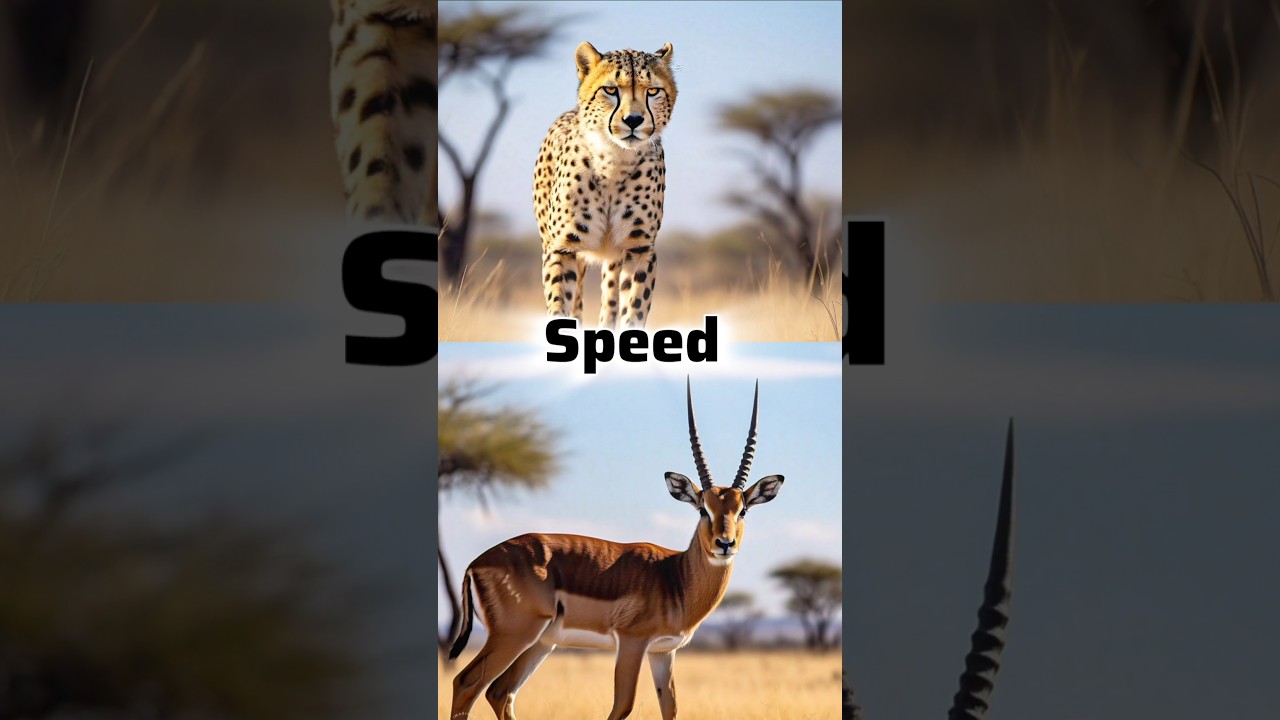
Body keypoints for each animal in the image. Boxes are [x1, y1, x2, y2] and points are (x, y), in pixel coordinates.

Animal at [533, 41, 677, 329]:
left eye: (653, 90)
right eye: (610, 89)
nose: (633, 120)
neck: (613, 159)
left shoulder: (639, 248)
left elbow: (634, 307)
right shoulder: (562, 248)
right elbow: (559, 304)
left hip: (613, 258)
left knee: (610, 300)